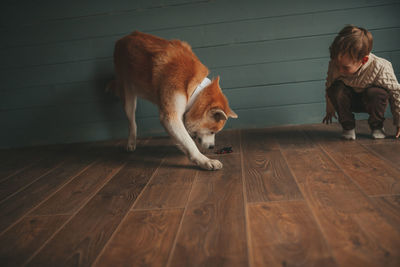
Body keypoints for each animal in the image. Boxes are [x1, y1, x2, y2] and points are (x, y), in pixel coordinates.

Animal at [108, 30, 236, 170]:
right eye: (212, 131)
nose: (212, 147)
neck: (194, 88)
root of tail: (124, 38)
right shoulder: (170, 117)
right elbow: (189, 142)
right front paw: (204, 160)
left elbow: (184, 138)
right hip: (128, 98)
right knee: (132, 122)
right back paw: (131, 142)